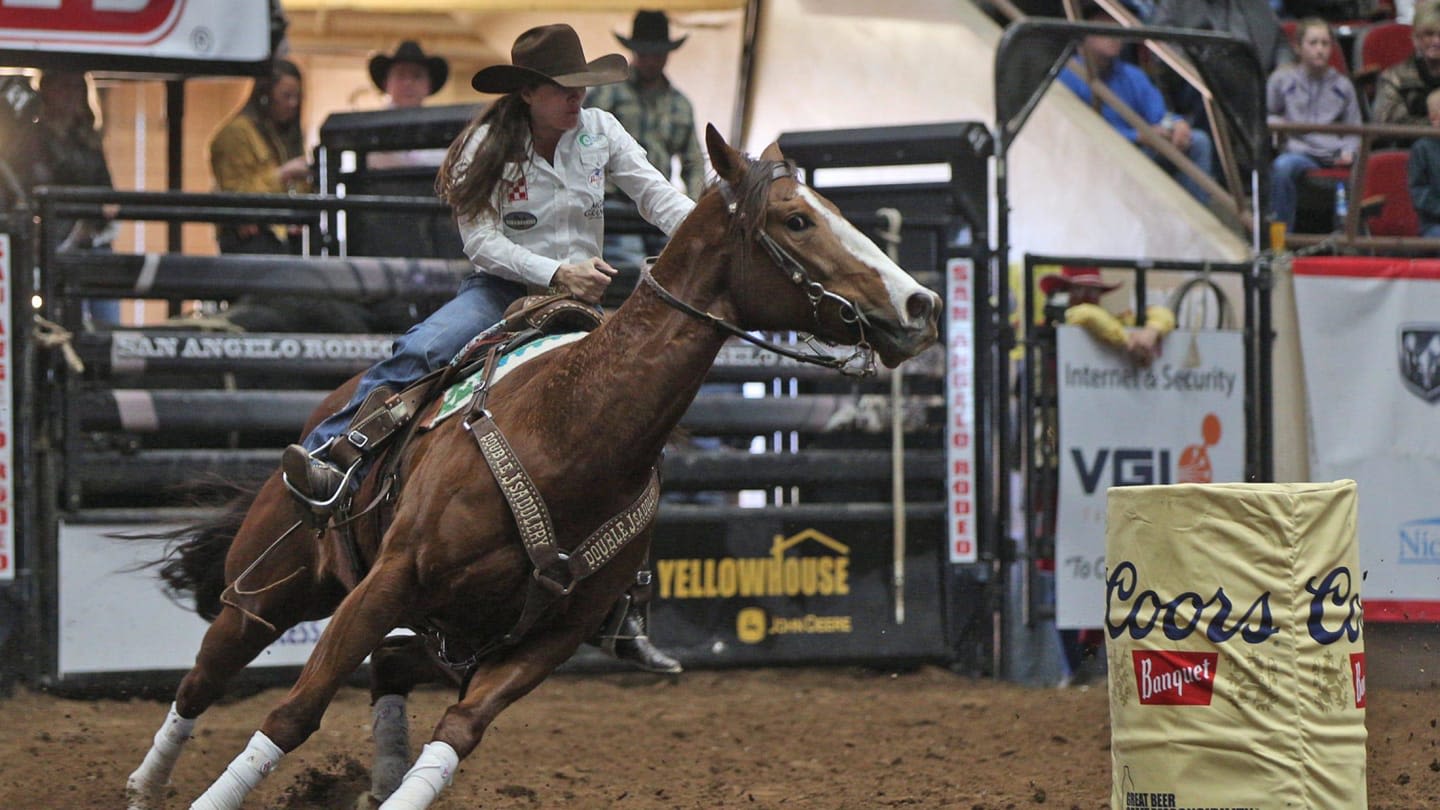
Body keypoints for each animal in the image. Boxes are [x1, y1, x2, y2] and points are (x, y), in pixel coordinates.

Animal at [126, 126, 944, 807]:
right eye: (797, 219)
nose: (922, 303)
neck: (570, 428)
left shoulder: (547, 641)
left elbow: (457, 733)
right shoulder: (389, 581)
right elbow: (296, 710)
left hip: (447, 633)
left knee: (387, 668)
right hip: (273, 585)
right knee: (205, 675)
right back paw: (146, 784)